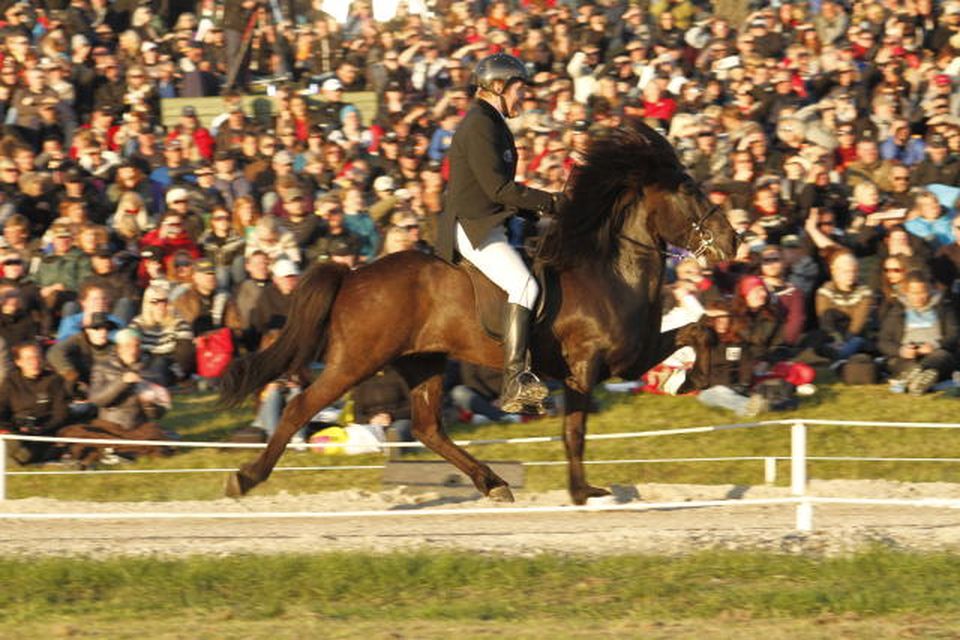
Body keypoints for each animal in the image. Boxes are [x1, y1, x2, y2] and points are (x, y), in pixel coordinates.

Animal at [221, 121, 740, 504]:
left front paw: (692, 379)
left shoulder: (629, 358)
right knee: (302, 407)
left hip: (423, 361)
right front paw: (581, 492)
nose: (733, 241)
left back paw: (494, 483)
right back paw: (245, 477)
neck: (610, 269)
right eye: (689, 190)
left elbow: (700, 331)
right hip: (357, 360)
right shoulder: (586, 367)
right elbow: (574, 431)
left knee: (429, 428)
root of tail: (352, 274)